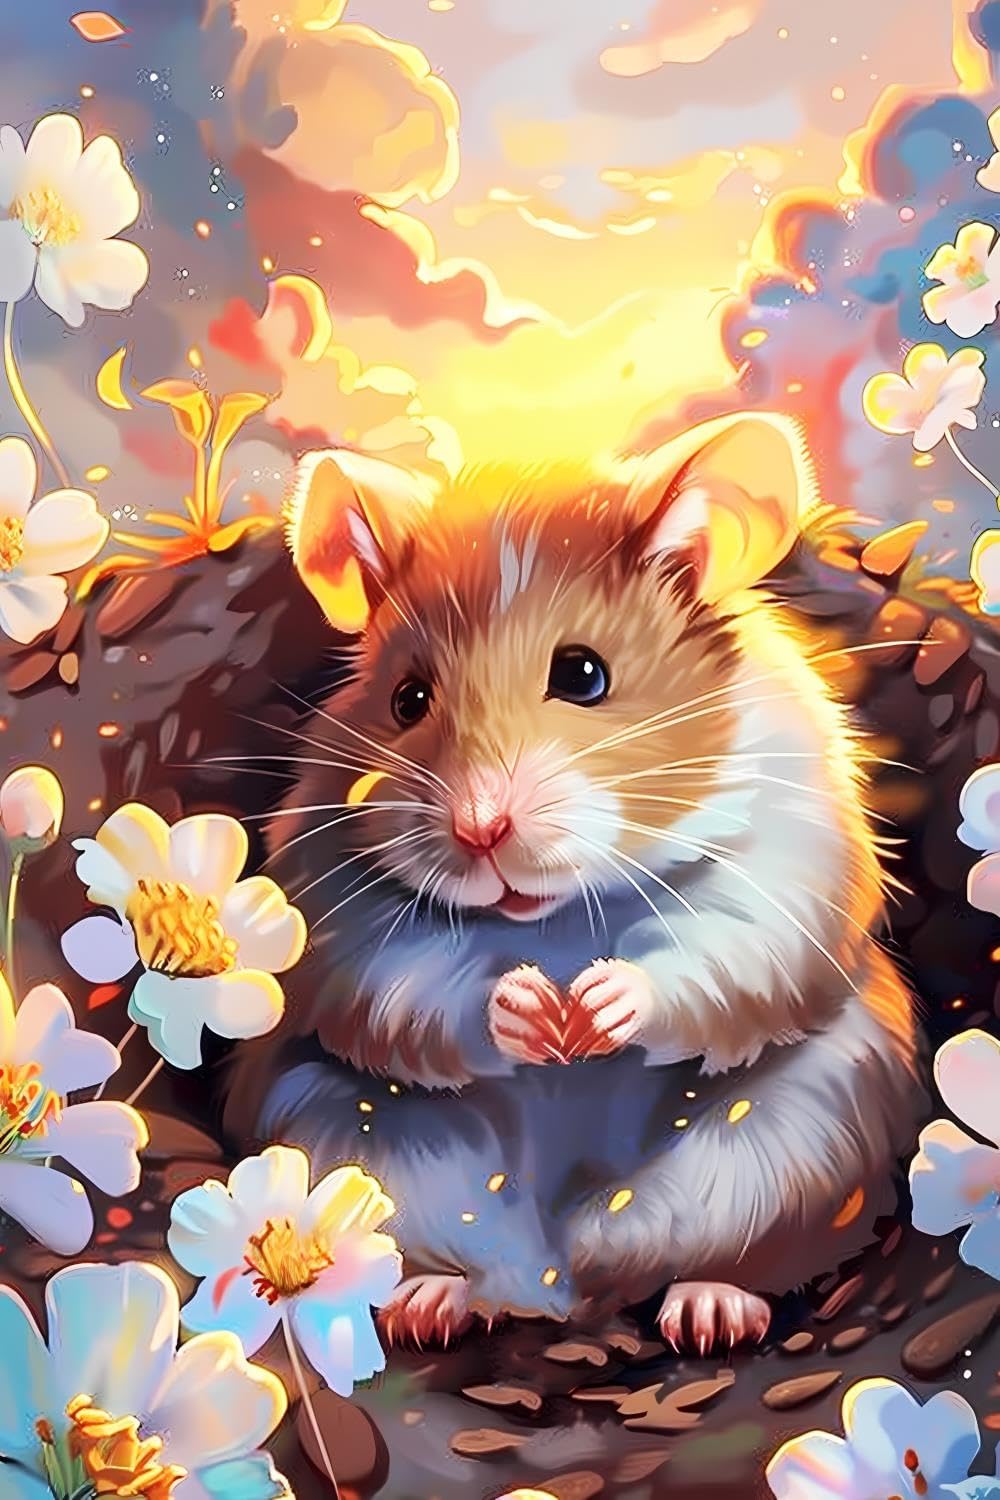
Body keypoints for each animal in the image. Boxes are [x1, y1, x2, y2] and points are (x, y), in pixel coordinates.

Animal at [234, 412, 919, 1350]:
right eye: (408, 700)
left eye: (583, 674)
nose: (478, 829)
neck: (555, 921)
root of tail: (558, 1282)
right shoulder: (330, 889)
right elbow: (399, 978)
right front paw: (530, 1012)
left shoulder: (792, 861)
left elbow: (725, 951)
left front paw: (596, 1008)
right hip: (341, 1138)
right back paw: (428, 1307)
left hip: (805, 1137)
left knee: (726, 1252)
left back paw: (710, 1314)